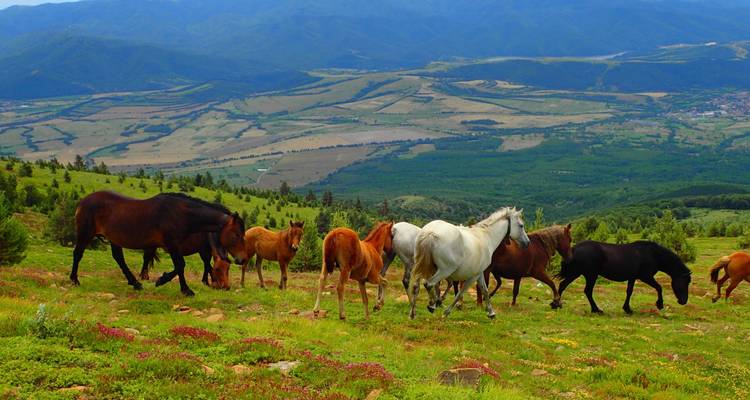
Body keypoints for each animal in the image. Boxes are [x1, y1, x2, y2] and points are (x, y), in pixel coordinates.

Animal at [70, 191, 248, 296]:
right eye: (237, 234)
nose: (242, 259)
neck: (182, 214)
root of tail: (83, 201)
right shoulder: (172, 244)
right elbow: (181, 266)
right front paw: (182, 288)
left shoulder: (176, 246)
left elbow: (181, 266)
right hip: (85, 233)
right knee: (78, 253)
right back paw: (74, 280)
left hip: (114, 238)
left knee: (119, 258)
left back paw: (135, 283)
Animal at [556, 240, 691, 314]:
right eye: (686, 282)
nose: (683, 301)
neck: (654, 254)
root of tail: (573, 248)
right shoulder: (646, 276)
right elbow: (659, 287)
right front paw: (660, 304)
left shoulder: (633, 277)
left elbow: (629, 292)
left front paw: (627, 309)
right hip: (590, 275)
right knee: (587, 291)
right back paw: (596, 310)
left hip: (576, 273)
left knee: (563, 285)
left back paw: (556, 304)